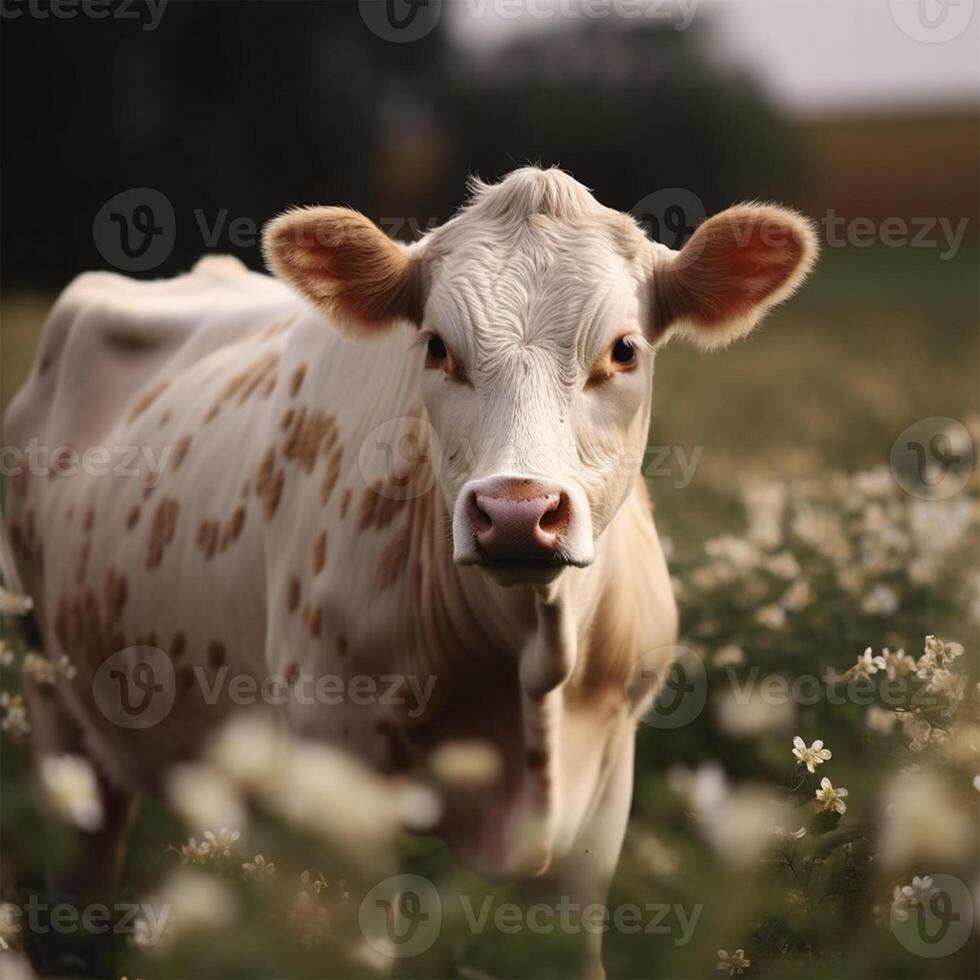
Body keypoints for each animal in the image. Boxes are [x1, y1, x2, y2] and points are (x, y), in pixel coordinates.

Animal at [1, 167, 820, 972]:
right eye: (434, 346)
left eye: (623, 350)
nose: (517, 512)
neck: (529, 662)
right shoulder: (334, 771)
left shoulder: (605, 782)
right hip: (56, 718)